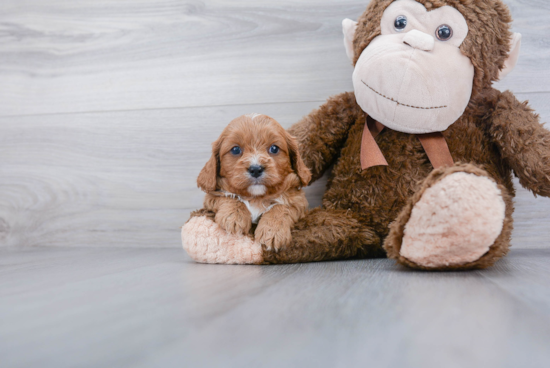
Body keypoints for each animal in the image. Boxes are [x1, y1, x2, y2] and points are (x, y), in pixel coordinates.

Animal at [197, 113, 310, 252]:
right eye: (235, 150)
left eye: (274, 148)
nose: (256, 169)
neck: (256, 197)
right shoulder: (212, 196)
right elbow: (231, 197)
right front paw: (234, 217)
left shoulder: (299, 201)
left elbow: (281, 207)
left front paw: (273, 231)